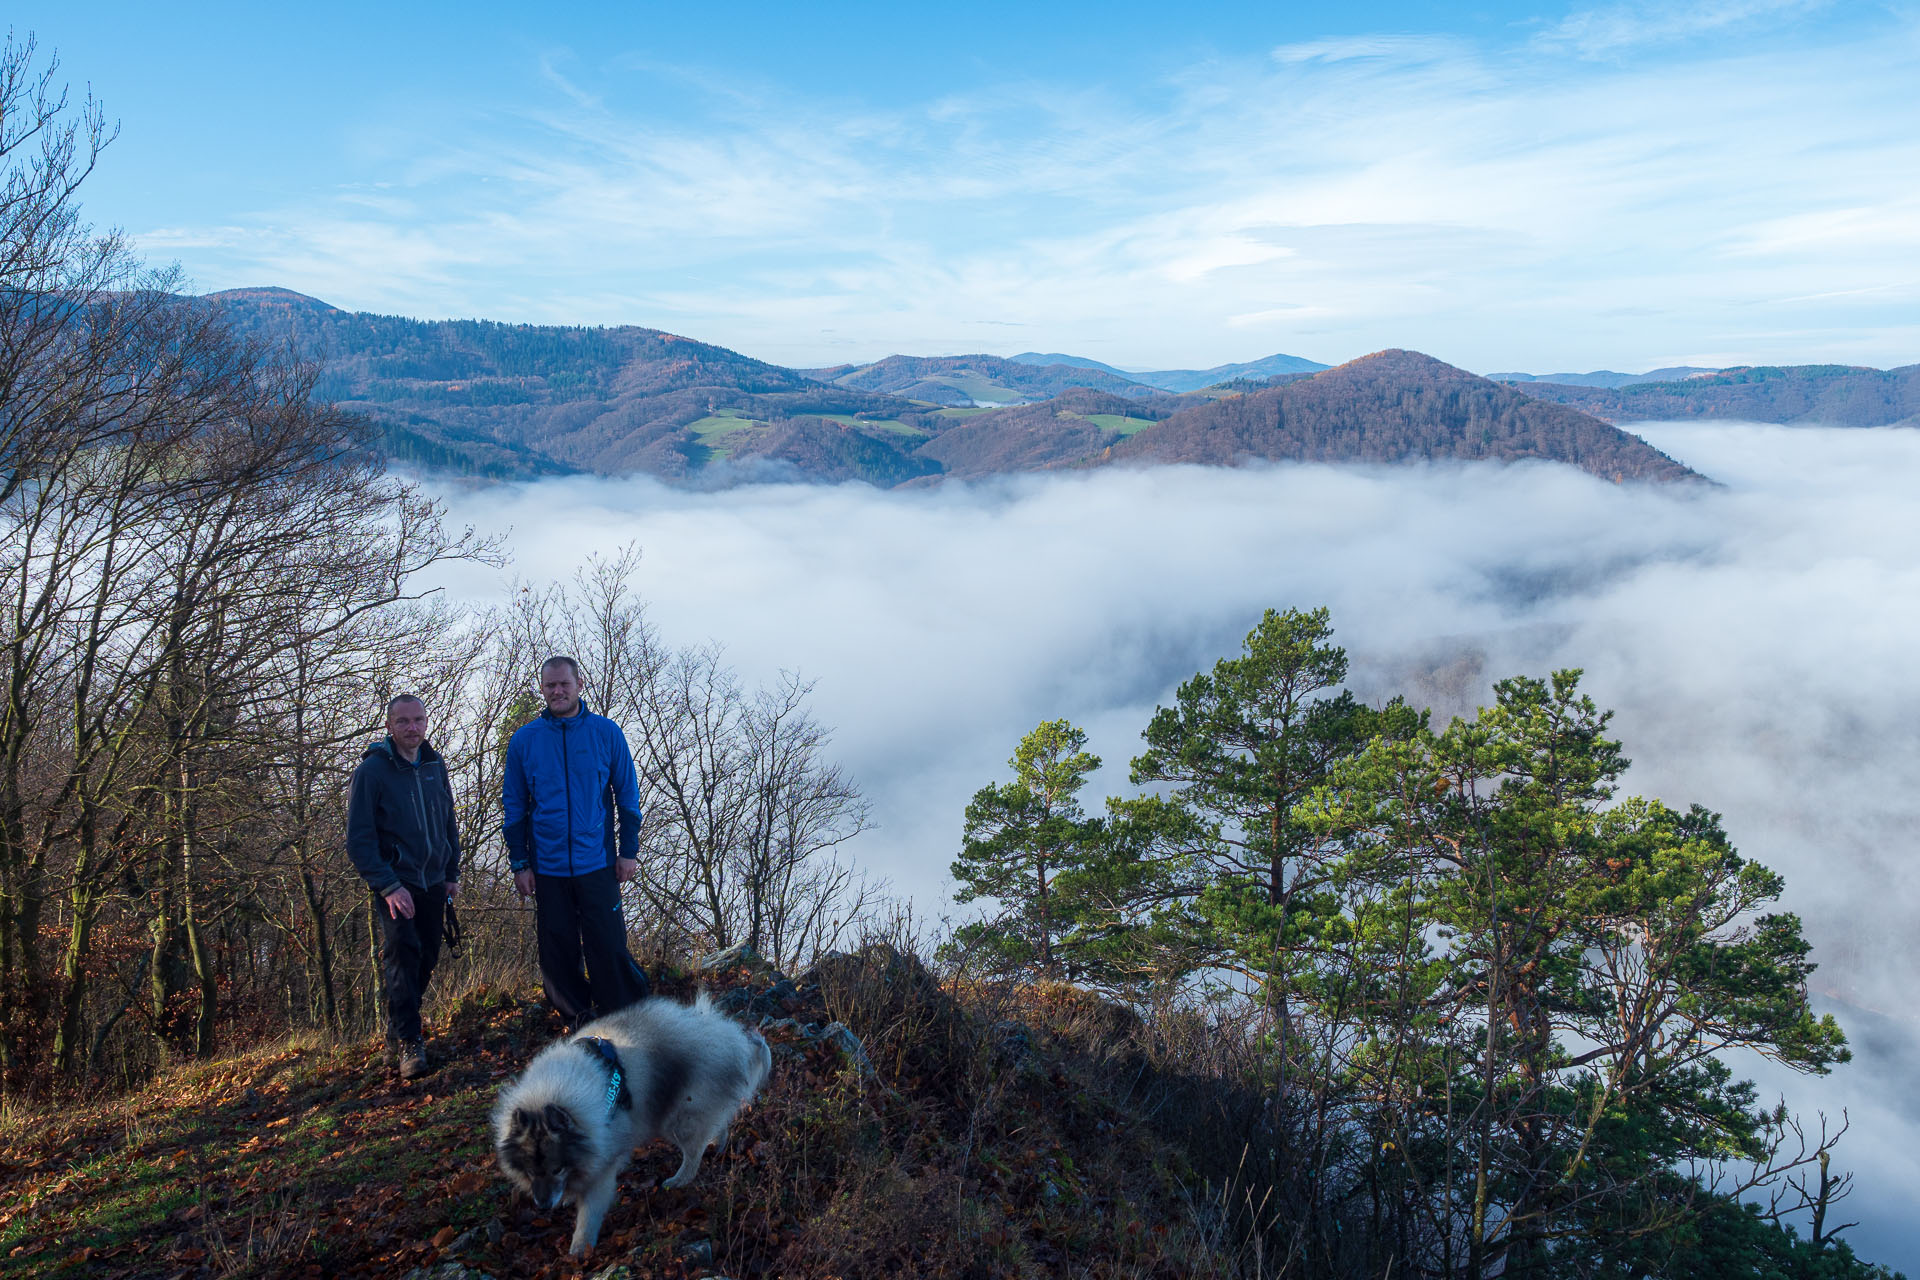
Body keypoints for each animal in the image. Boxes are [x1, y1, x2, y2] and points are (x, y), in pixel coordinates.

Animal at [487, 997, 771, 1258]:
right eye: (531, 1171)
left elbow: (589, 1211)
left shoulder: (602, 1167)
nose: (544, 1205)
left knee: (693, 1153)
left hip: (677, 1120)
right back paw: (718, 1145)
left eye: (557, 1168)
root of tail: (730, 1036)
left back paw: (678, 1180)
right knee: (717, 1125)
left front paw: (580, 1248)